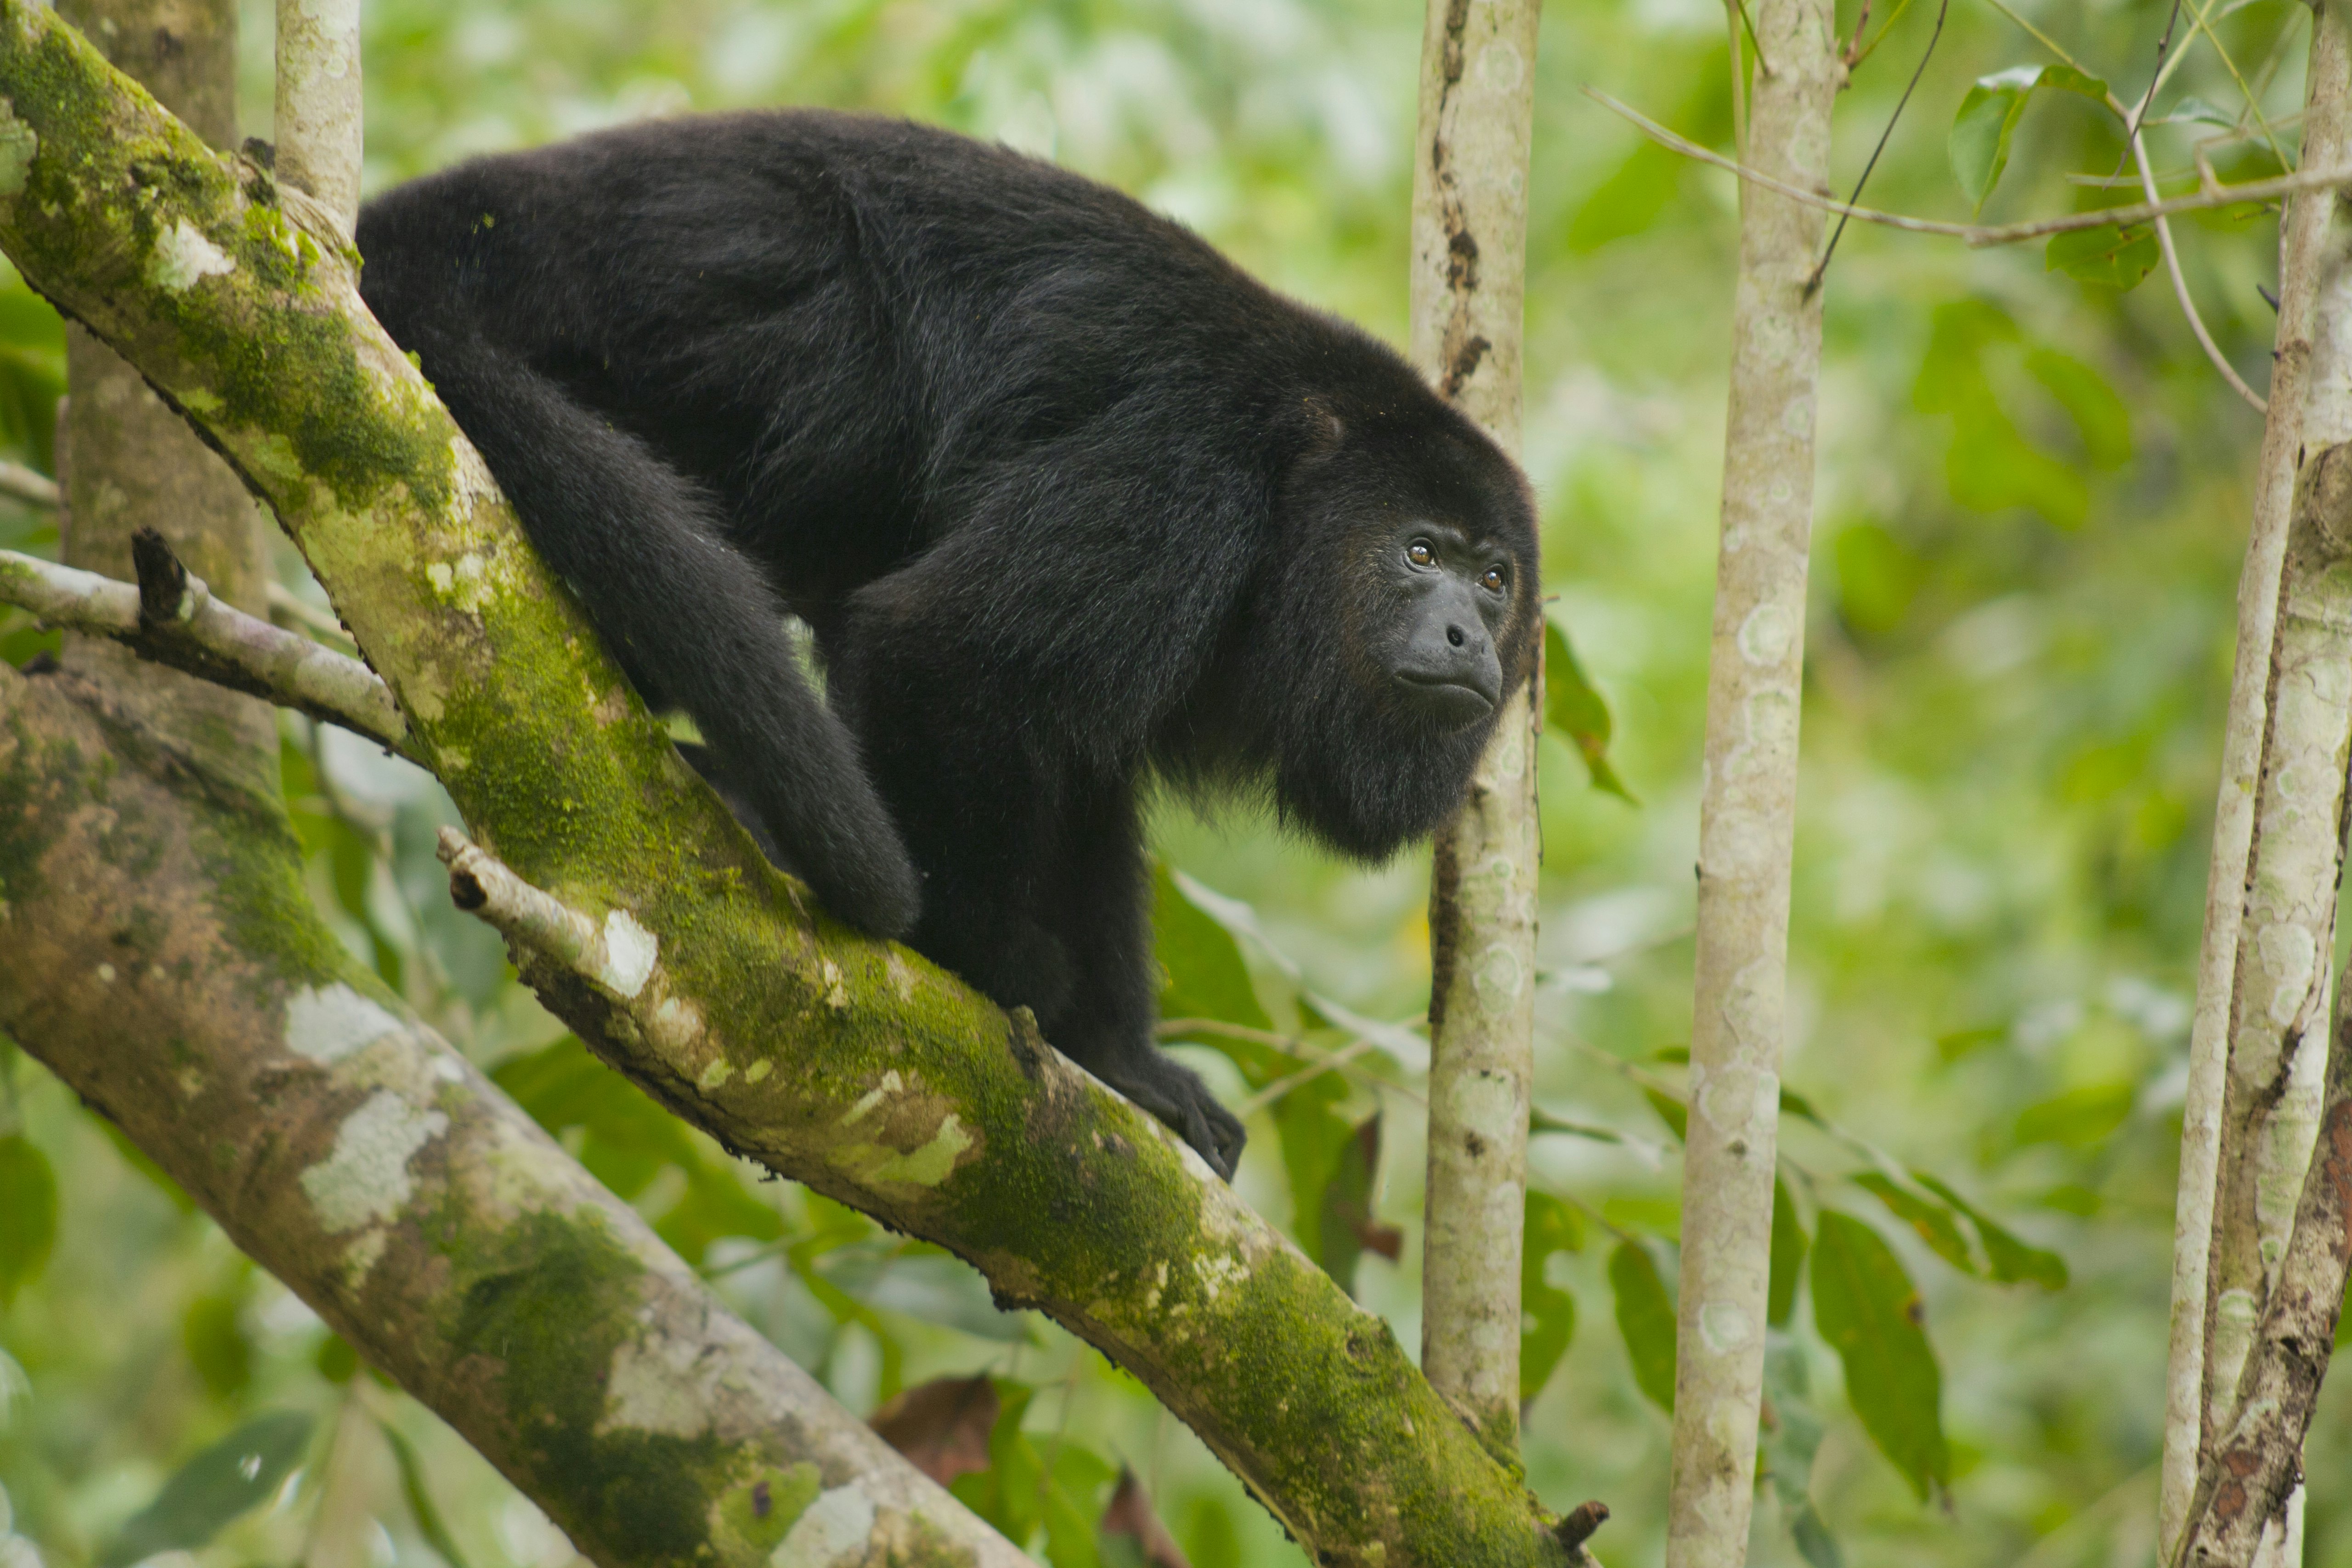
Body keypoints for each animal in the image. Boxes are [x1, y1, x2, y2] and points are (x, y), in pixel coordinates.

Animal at [356, 109, 1540, 1179]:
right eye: (1420, 551)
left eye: (1495, 581)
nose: (1465, 635)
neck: (1296, 490)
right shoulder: (1185, 479)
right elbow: (944, 648)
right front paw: (983, 959)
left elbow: (1084, 770)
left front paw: (1124, 1058)